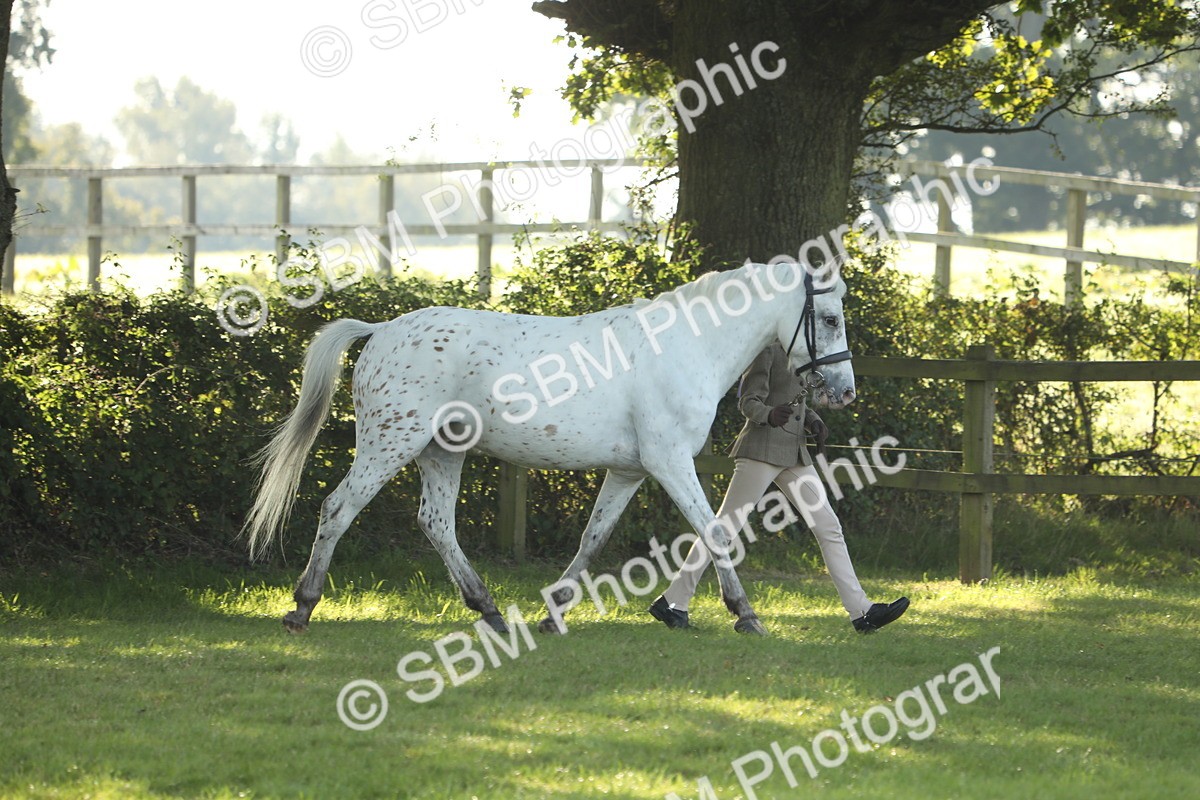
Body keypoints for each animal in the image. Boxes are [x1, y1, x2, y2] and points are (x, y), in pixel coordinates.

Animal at [244, 259, 855, 636]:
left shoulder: (631, 471)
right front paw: (745, 613)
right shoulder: (670, 462)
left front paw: (554, 611)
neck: (686, 344)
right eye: (829, 318)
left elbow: (593, 537)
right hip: (391, 442)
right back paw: (302, 607)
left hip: (442, 452)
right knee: (338, 508)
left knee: (436, 524)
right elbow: (715, 531)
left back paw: (489, 611)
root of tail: (380, 330)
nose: (843, 391)